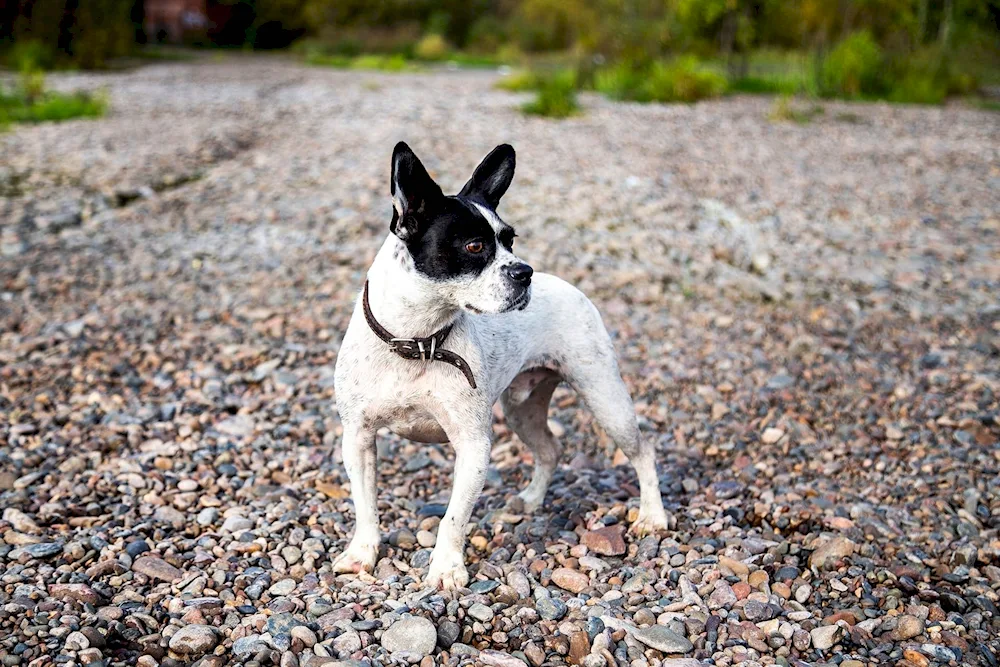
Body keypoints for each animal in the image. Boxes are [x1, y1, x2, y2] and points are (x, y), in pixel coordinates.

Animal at [332, 142, 668, 588]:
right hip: (522, 410)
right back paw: (530, 500)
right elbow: (366, 506)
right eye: (475, 246)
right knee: (549, 449)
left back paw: (653, 516)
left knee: (643, 450)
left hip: (606, 400)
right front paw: (362, 554)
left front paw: (446, 569)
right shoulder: (358, 438)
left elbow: (453, 518)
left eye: (511, 240)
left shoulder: (473, 446)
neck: (418, 340)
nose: (524, 272)